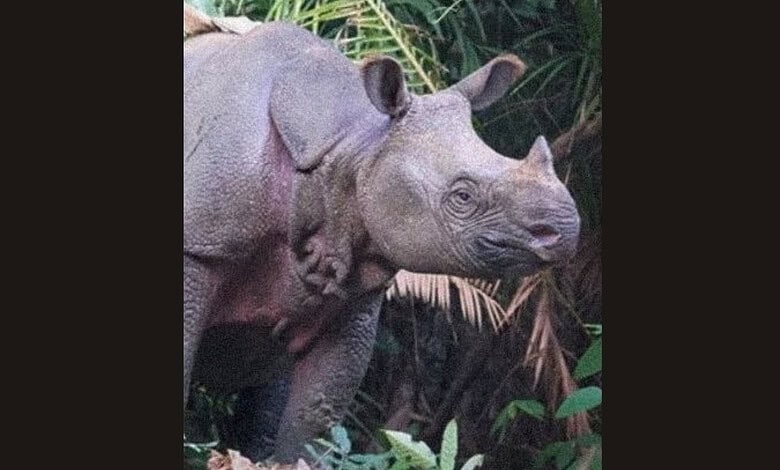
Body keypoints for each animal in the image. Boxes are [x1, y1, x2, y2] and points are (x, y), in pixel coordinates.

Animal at [184, 20, 581, 463]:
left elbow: (315, 417)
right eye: (462, 197)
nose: (565, 229)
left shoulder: (352, 289)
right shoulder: (198, 249)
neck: (353, 144)